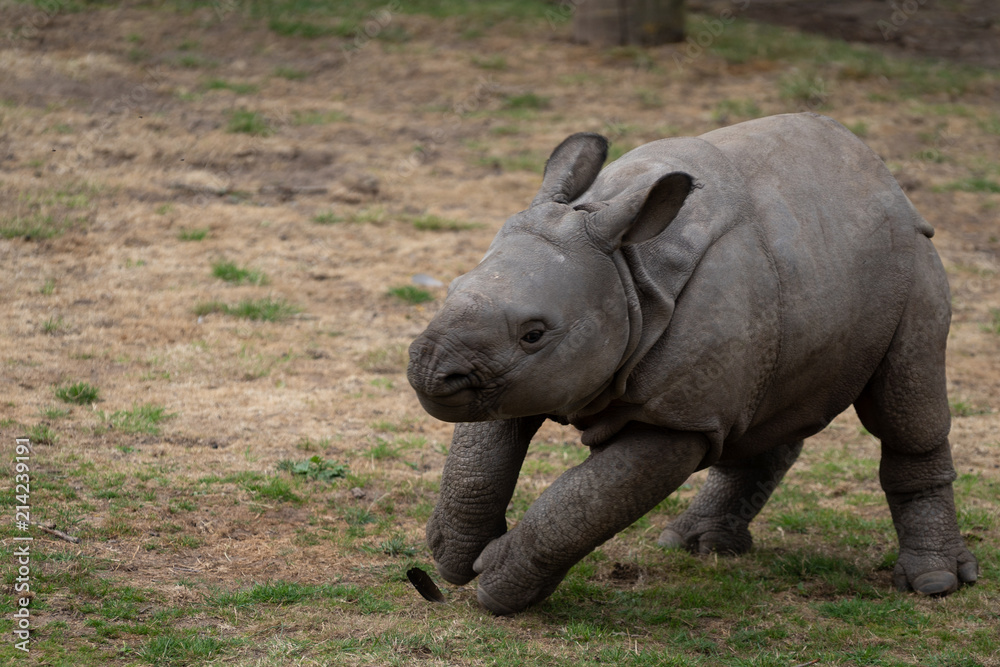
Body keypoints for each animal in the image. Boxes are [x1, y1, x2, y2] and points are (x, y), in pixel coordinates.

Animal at [406, 113, 978, 615]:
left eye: (533, 334)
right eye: (452, 289)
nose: (429, 371)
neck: (628, 269)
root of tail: (888, 181)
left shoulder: (676, 416)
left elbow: (584, 502)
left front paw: (497, 588)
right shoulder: (514, 378)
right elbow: (479, 461)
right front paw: (454, 558)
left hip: (914, 262)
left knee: (904, 407)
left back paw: (934, 584)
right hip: (815, 273)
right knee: (763, 406)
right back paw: (696, 546)